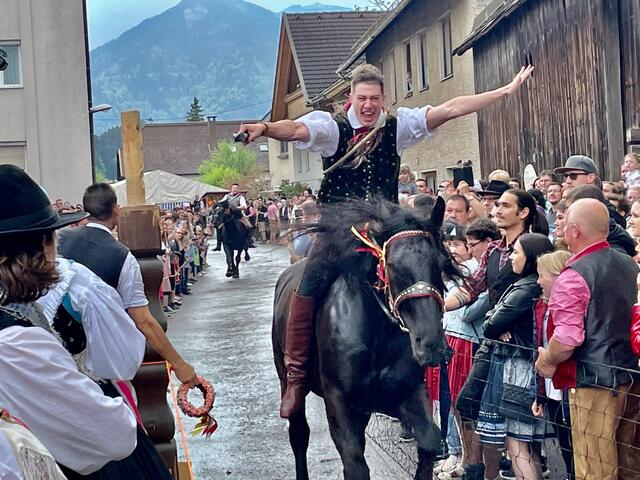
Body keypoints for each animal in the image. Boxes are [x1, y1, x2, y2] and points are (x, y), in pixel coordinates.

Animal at [272, 197, 458, 478]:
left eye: (440, 262)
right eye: (392, 266)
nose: (430, 344)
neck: (376, 337)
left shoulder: (405, 392)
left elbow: (429, 441)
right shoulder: (339, 401)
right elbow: (354, 463)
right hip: (288, 382)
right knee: (299, 434)